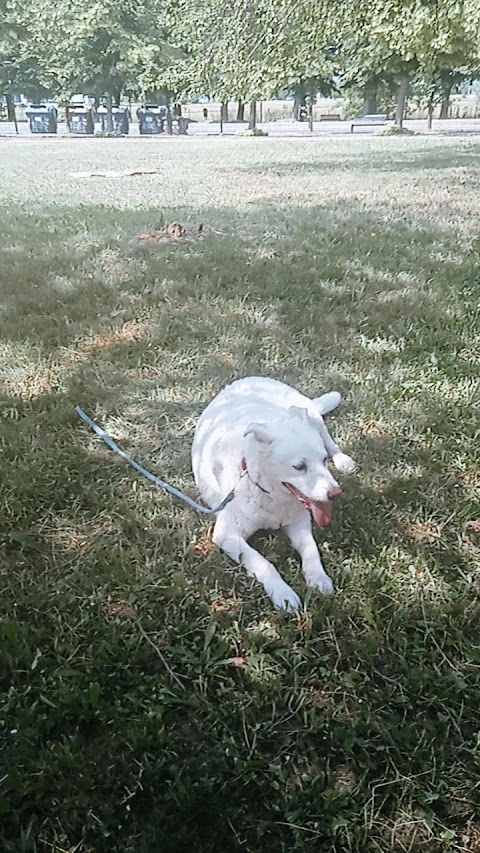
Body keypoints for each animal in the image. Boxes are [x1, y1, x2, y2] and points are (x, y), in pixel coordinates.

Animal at [192, 376, 356, 608]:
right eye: (299, 467)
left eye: (323, 460)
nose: (335, 493)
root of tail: (252, 378)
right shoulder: (227, 535)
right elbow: (263, 563)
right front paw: (282, 593)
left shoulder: (300, 523)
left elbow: (311, 550)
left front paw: (318, 578)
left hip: (313, 418)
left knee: (330, 442)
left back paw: (343, 460)